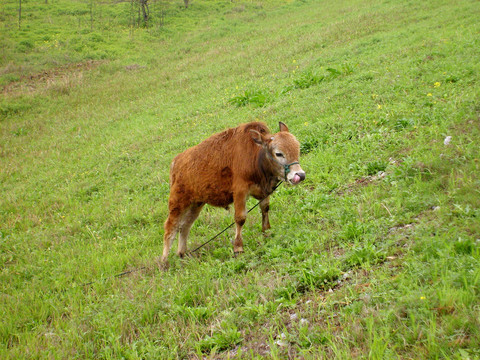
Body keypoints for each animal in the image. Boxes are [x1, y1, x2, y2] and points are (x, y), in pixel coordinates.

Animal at [160, 121, 304, 264]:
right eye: (279, 153)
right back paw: (164, 261)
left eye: (298, 148)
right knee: (170, 228)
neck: (255, 156)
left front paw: (266, 232)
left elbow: (265, 209)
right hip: (178, 202)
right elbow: (240, 218)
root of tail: (176, 161)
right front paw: (238, 248)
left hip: (196, 204)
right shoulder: (240, 192)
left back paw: (183, 253)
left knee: (185, 226)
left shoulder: (264, 192)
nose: (300, 175)